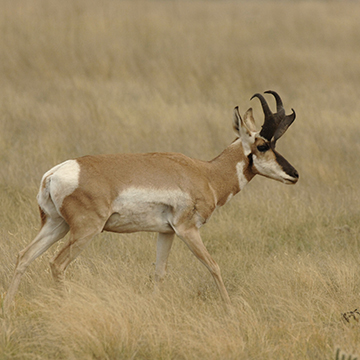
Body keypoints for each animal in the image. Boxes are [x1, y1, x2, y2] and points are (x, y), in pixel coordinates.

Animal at [3, 90, 298, 310]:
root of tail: (54, 173)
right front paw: (230, 309)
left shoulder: (166, 233)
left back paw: (8, 307)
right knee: (57, 264)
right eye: (262, 145)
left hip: (56, 225)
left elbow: (159, 272)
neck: (205, 173)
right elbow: (213, 266)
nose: (294, 174)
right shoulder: (187, 230)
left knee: (23, 256)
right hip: (85, 231)